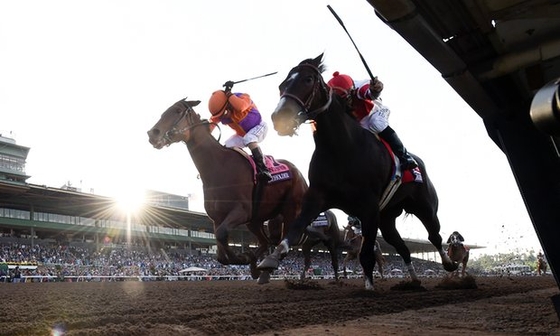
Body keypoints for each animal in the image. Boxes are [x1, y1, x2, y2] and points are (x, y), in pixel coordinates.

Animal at [147, 99, 308, 280]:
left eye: (177, 110)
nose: (152, 133)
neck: (219, 166)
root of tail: (299, 173)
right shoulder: (217, 218)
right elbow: (220, 254)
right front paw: (247, 258)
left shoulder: (241, 211)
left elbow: (223, 234)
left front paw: (243, 257)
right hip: (255, 220)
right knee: (266, 242)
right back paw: (257, 266)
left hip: (290, 211)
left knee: (283, 242)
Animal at [258, 53, 456, 290]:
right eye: (282, 85)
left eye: (308, 79)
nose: (280, 117)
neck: (340, 148)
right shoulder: (317, 197)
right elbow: (295, 227)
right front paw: (271, 259)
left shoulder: (368, 207)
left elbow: (366, 253)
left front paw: (369, 286)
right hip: (387, 217)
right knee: (402, 247)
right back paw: (414, 280)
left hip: (425, 207)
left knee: (434, 236)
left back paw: (449, 264)